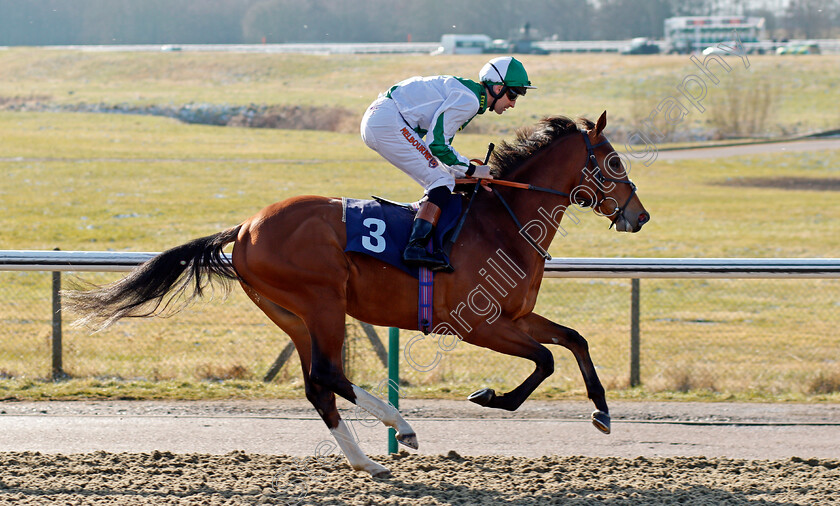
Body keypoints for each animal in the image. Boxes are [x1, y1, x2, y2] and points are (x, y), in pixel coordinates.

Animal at [67, 111, 648, 478]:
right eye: (614, 161)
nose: (639, 215)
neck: (502, 223)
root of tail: (245, 227)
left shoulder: (516, 316)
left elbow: (573, 340)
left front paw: (602, 412)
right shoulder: (478, 324)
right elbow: (546, 360)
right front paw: (491, 397)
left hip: (292, 314)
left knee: (318, 384)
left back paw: (367, 460)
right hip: (322, 302)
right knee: (328, 375)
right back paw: (399, 429)